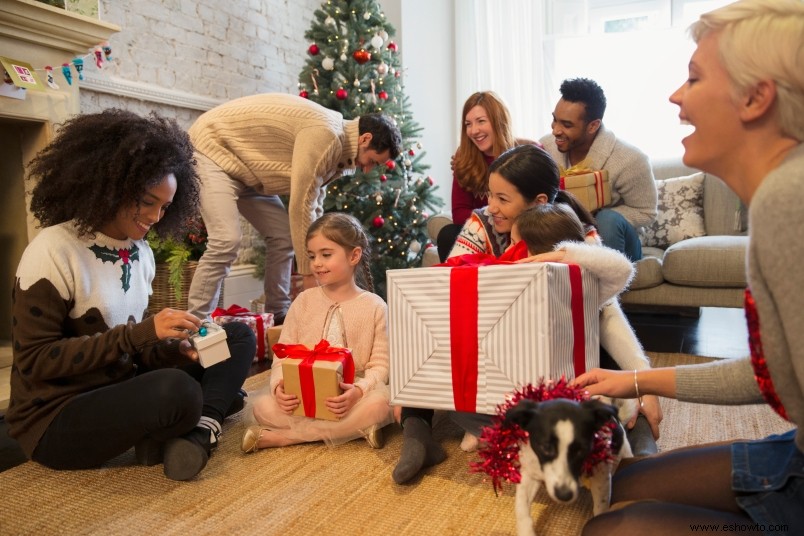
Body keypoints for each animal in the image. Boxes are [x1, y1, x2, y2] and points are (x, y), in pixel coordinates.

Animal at [506, 396, 632, 532]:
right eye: (546, 447)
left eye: (581, 449)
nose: (564, 495)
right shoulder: (530, 473)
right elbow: (521, 508)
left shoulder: (601, 478)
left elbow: (600, 508)